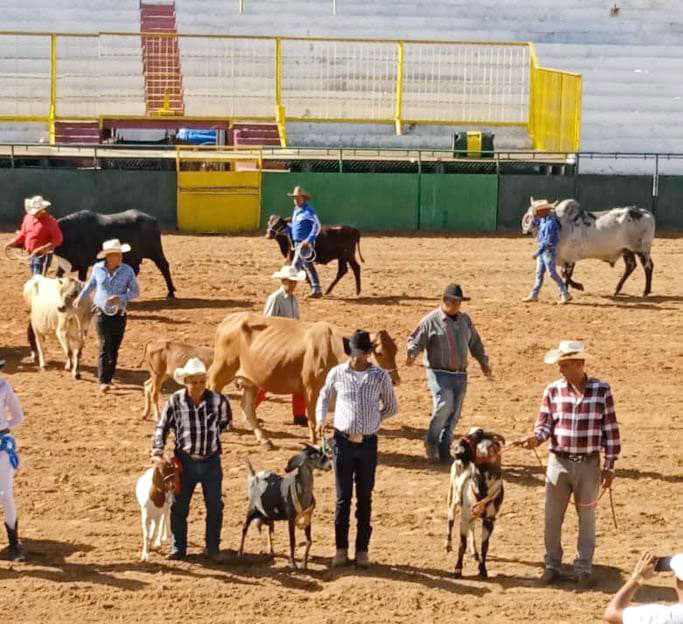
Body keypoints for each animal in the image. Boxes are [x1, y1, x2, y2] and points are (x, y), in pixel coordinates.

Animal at [208, 312, 400, 448]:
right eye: (379, 352)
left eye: (396, 350)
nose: (395, 379)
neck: (334, 350)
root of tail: (228, 320)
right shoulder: (311, 389)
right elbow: (313, 419)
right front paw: (315, 442)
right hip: (221, 370)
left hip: (252, 381)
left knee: (247, 407)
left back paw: (265, 440)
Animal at [446, 426, 504, 576]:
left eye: (478, 434)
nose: (455, 447)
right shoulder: (464, 517)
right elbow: (462, 544)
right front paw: (458, 569)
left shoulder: (489, 520)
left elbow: (485, 546)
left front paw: (483, 570)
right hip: (453, 501)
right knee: (450, 522)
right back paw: (447, 545)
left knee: (472, 529)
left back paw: (474, 552)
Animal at [524, 200, 656, 298]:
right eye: (528, 215)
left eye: (535, 214)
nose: (527, 231)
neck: (560, 225)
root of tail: (647, 214)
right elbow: (564, 274)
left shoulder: (570, 259)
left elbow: (566, 274)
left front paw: (573, 288)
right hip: (627, 250)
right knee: (631, 266)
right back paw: (617, 289)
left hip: (641, 249)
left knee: (647, 267)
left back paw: (645, 291)